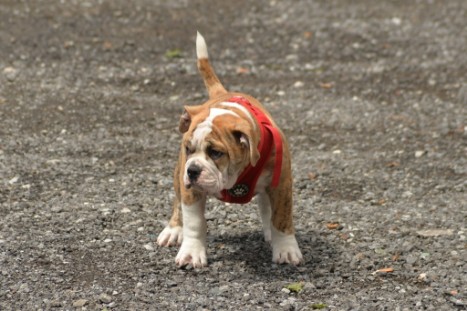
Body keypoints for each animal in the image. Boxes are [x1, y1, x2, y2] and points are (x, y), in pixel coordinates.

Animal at [157, 33, 304, 270]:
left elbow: (281, 218)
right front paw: (191, 253)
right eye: (188, 148)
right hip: (179, 173)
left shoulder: (281, 182)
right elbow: (194, 223)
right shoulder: (191, 191)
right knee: (178, 203)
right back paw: (173, 230)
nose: (193, 170)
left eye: (216, 153)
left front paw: (286, 250)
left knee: (267, 206)